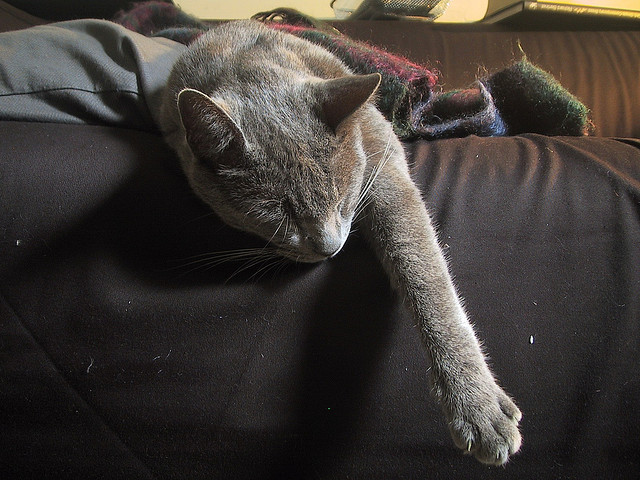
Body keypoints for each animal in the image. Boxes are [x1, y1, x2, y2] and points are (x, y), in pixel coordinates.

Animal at [159, 19, 521, 465]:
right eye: (278, 214)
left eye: (342, 197)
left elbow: (424, 273)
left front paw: (478, 407)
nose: (329, 246)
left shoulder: (382, 162)